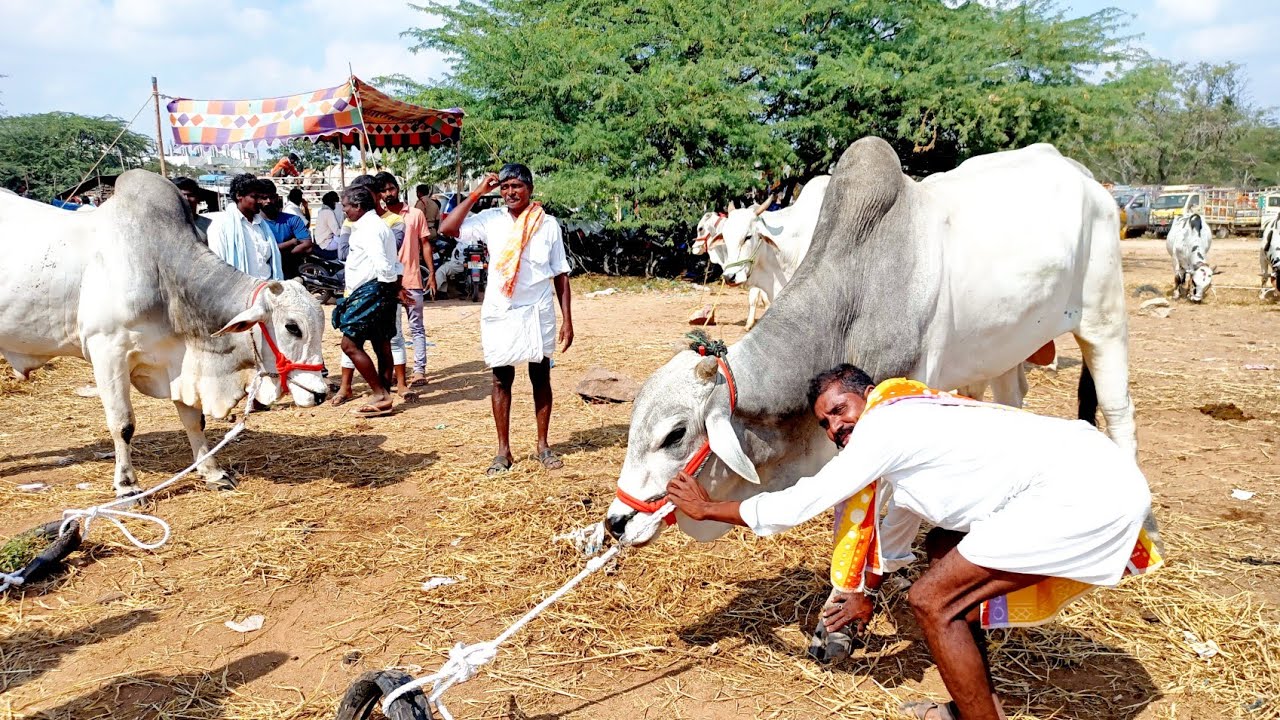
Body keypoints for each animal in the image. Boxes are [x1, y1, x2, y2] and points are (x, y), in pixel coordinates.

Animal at [0, 170, 327, 499]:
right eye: (292, 327)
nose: (321, 394)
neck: (160, 272)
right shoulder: (106, 351)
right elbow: (122, 424)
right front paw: (127, 486)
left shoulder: (180, 362)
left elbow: (194, 420)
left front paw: (213, 473)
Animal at [605, 138, 1132, 660]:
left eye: (674, 434)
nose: (615, 524)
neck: (854, 293)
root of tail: (1087, 178)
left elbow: (876, 516)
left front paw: (842, 618)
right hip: (1005, 348)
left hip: (1103, 321)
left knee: (1118, 412)